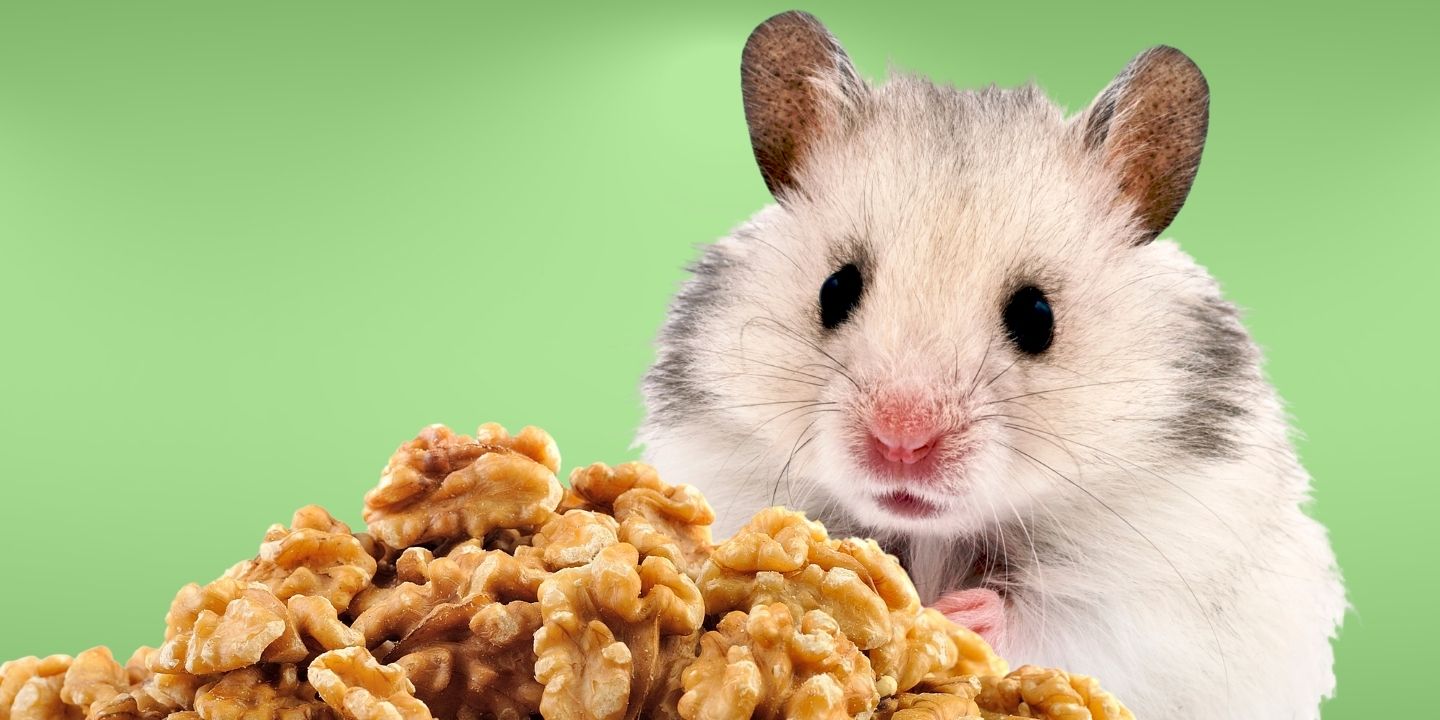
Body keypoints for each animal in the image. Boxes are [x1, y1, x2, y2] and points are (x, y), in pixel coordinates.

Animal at [638, 10, 1345, 720]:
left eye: (1037, 316)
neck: (934, 534)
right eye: (835, 289)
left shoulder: (1154, 594)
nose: (902, 441)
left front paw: (957, 618)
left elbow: (1053, 619)